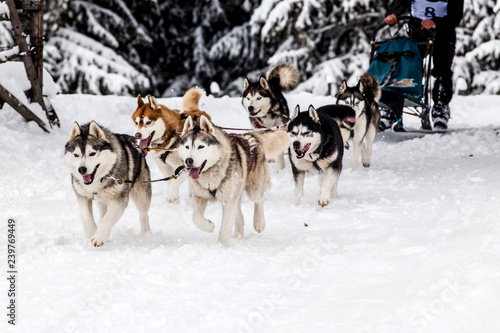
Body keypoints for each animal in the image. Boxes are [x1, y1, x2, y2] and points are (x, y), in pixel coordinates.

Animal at [179, 115, 290, 246]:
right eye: (187, 147)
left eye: (201, 146)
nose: (188, 161)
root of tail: (252, 136)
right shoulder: (199, 196)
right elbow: (196, 217)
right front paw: (209, 226)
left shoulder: (228, 202)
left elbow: (225, 227)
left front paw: (221, 246)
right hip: (235, 194)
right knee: (240, 217)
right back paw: (238, 236)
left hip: (253, 188)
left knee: (258, 200)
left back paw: (259, 222)